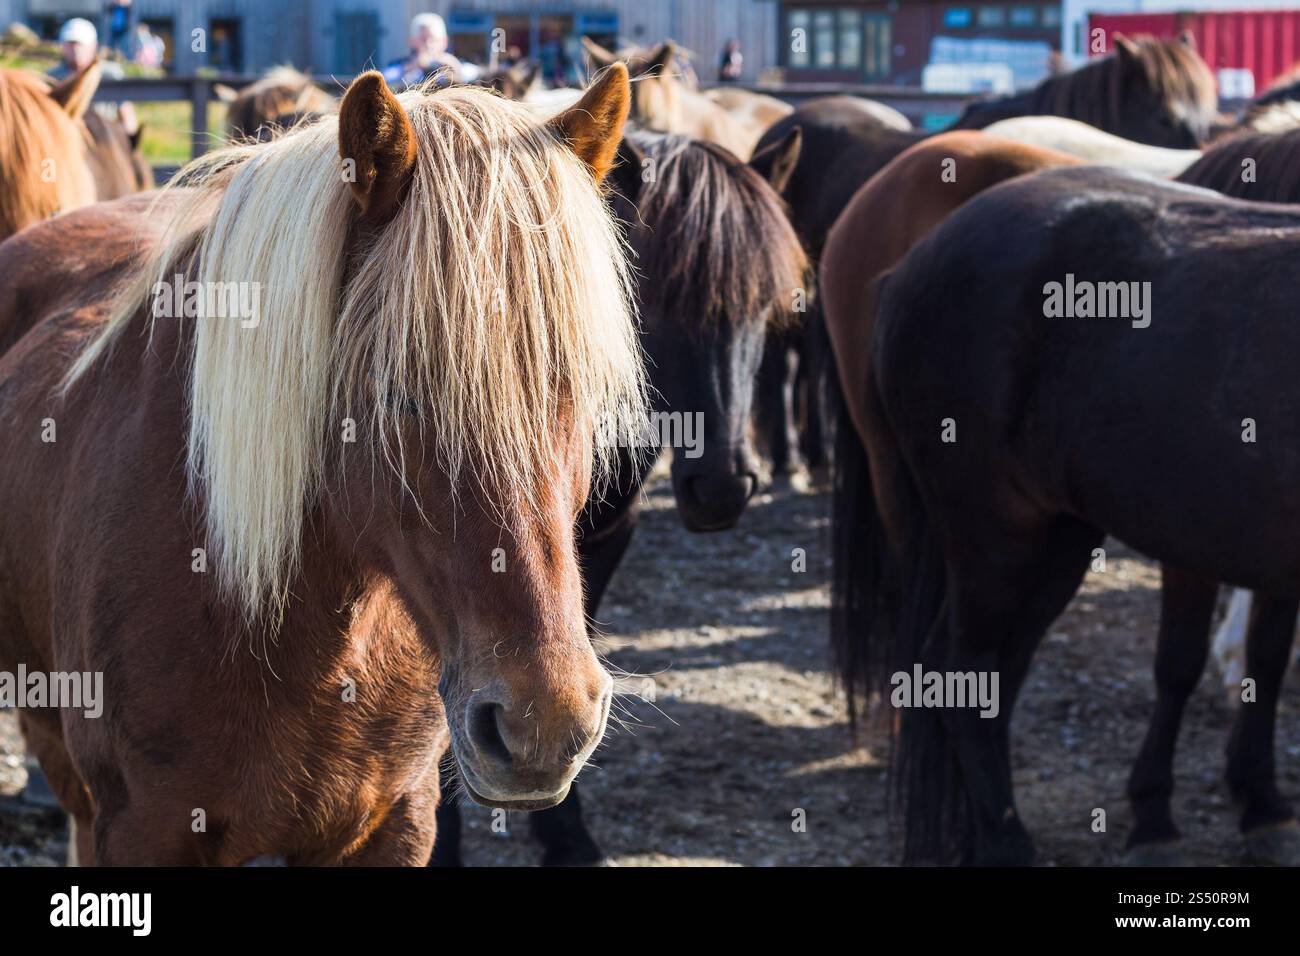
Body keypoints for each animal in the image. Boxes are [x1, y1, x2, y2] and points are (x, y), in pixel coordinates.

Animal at [828, 163, 1300, 865]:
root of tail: (912, 263)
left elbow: (1262, 663)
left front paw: (1262, 805)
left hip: (1059, 540)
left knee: (1000, 674)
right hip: (995, 537)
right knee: (961, 670)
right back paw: (1006, 843)